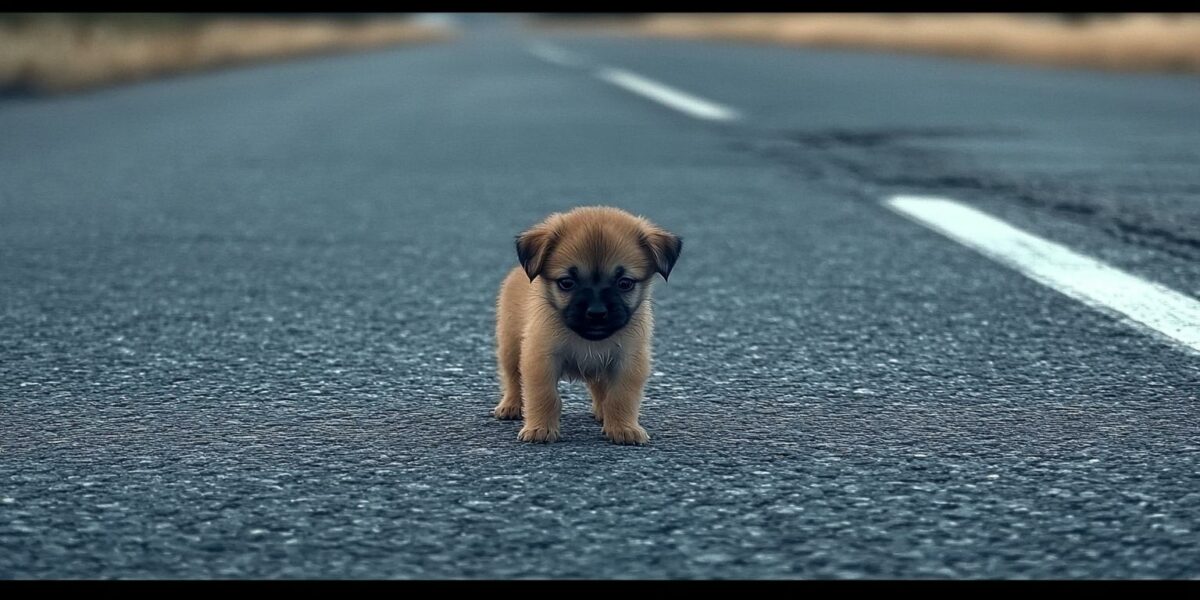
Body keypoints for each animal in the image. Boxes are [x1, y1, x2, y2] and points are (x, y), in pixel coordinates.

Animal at [489, 206, 681, 446]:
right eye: (567, 283)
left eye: (625, 283)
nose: (597, 312)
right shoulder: (540, 360)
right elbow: (545, 396)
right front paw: (540, 429)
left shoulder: (628, 362)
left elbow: (621, 397)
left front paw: (623, 428)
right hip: (510, 348)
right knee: (513, 379)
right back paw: (511, 406)